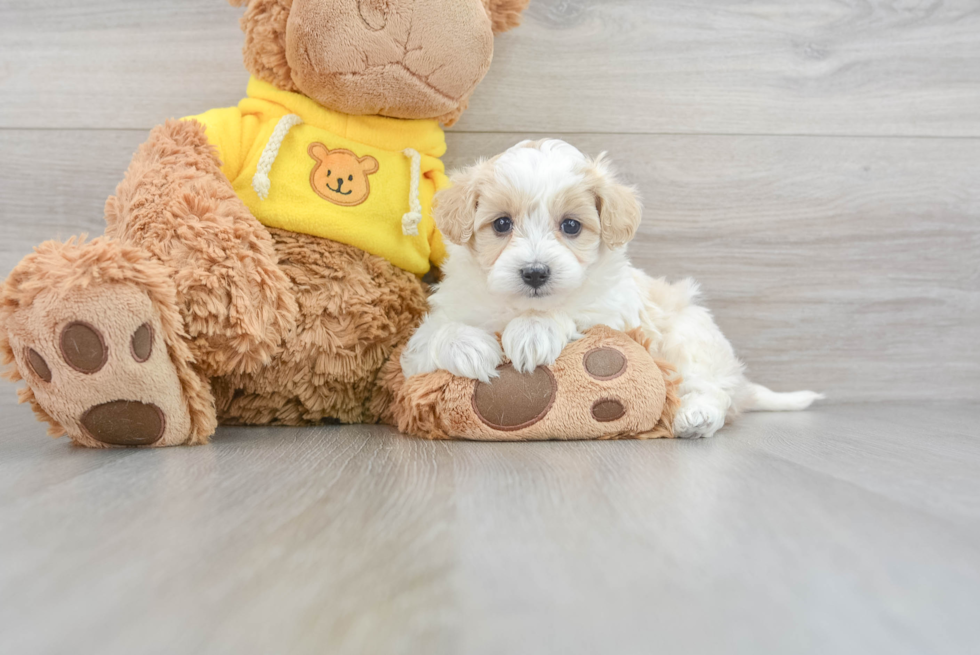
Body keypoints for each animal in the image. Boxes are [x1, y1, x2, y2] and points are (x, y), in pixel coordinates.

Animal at [402, 139, 824, 438]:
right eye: (502, 224)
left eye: (571, 226)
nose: (535, 273)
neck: (520, 304)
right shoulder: (427, 337)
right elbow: (431, 337)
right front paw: (470, 346)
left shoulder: (616, 313)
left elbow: (572, 313)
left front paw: (534, 331)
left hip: (688, 336)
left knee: (712, 388)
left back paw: (696, 416)